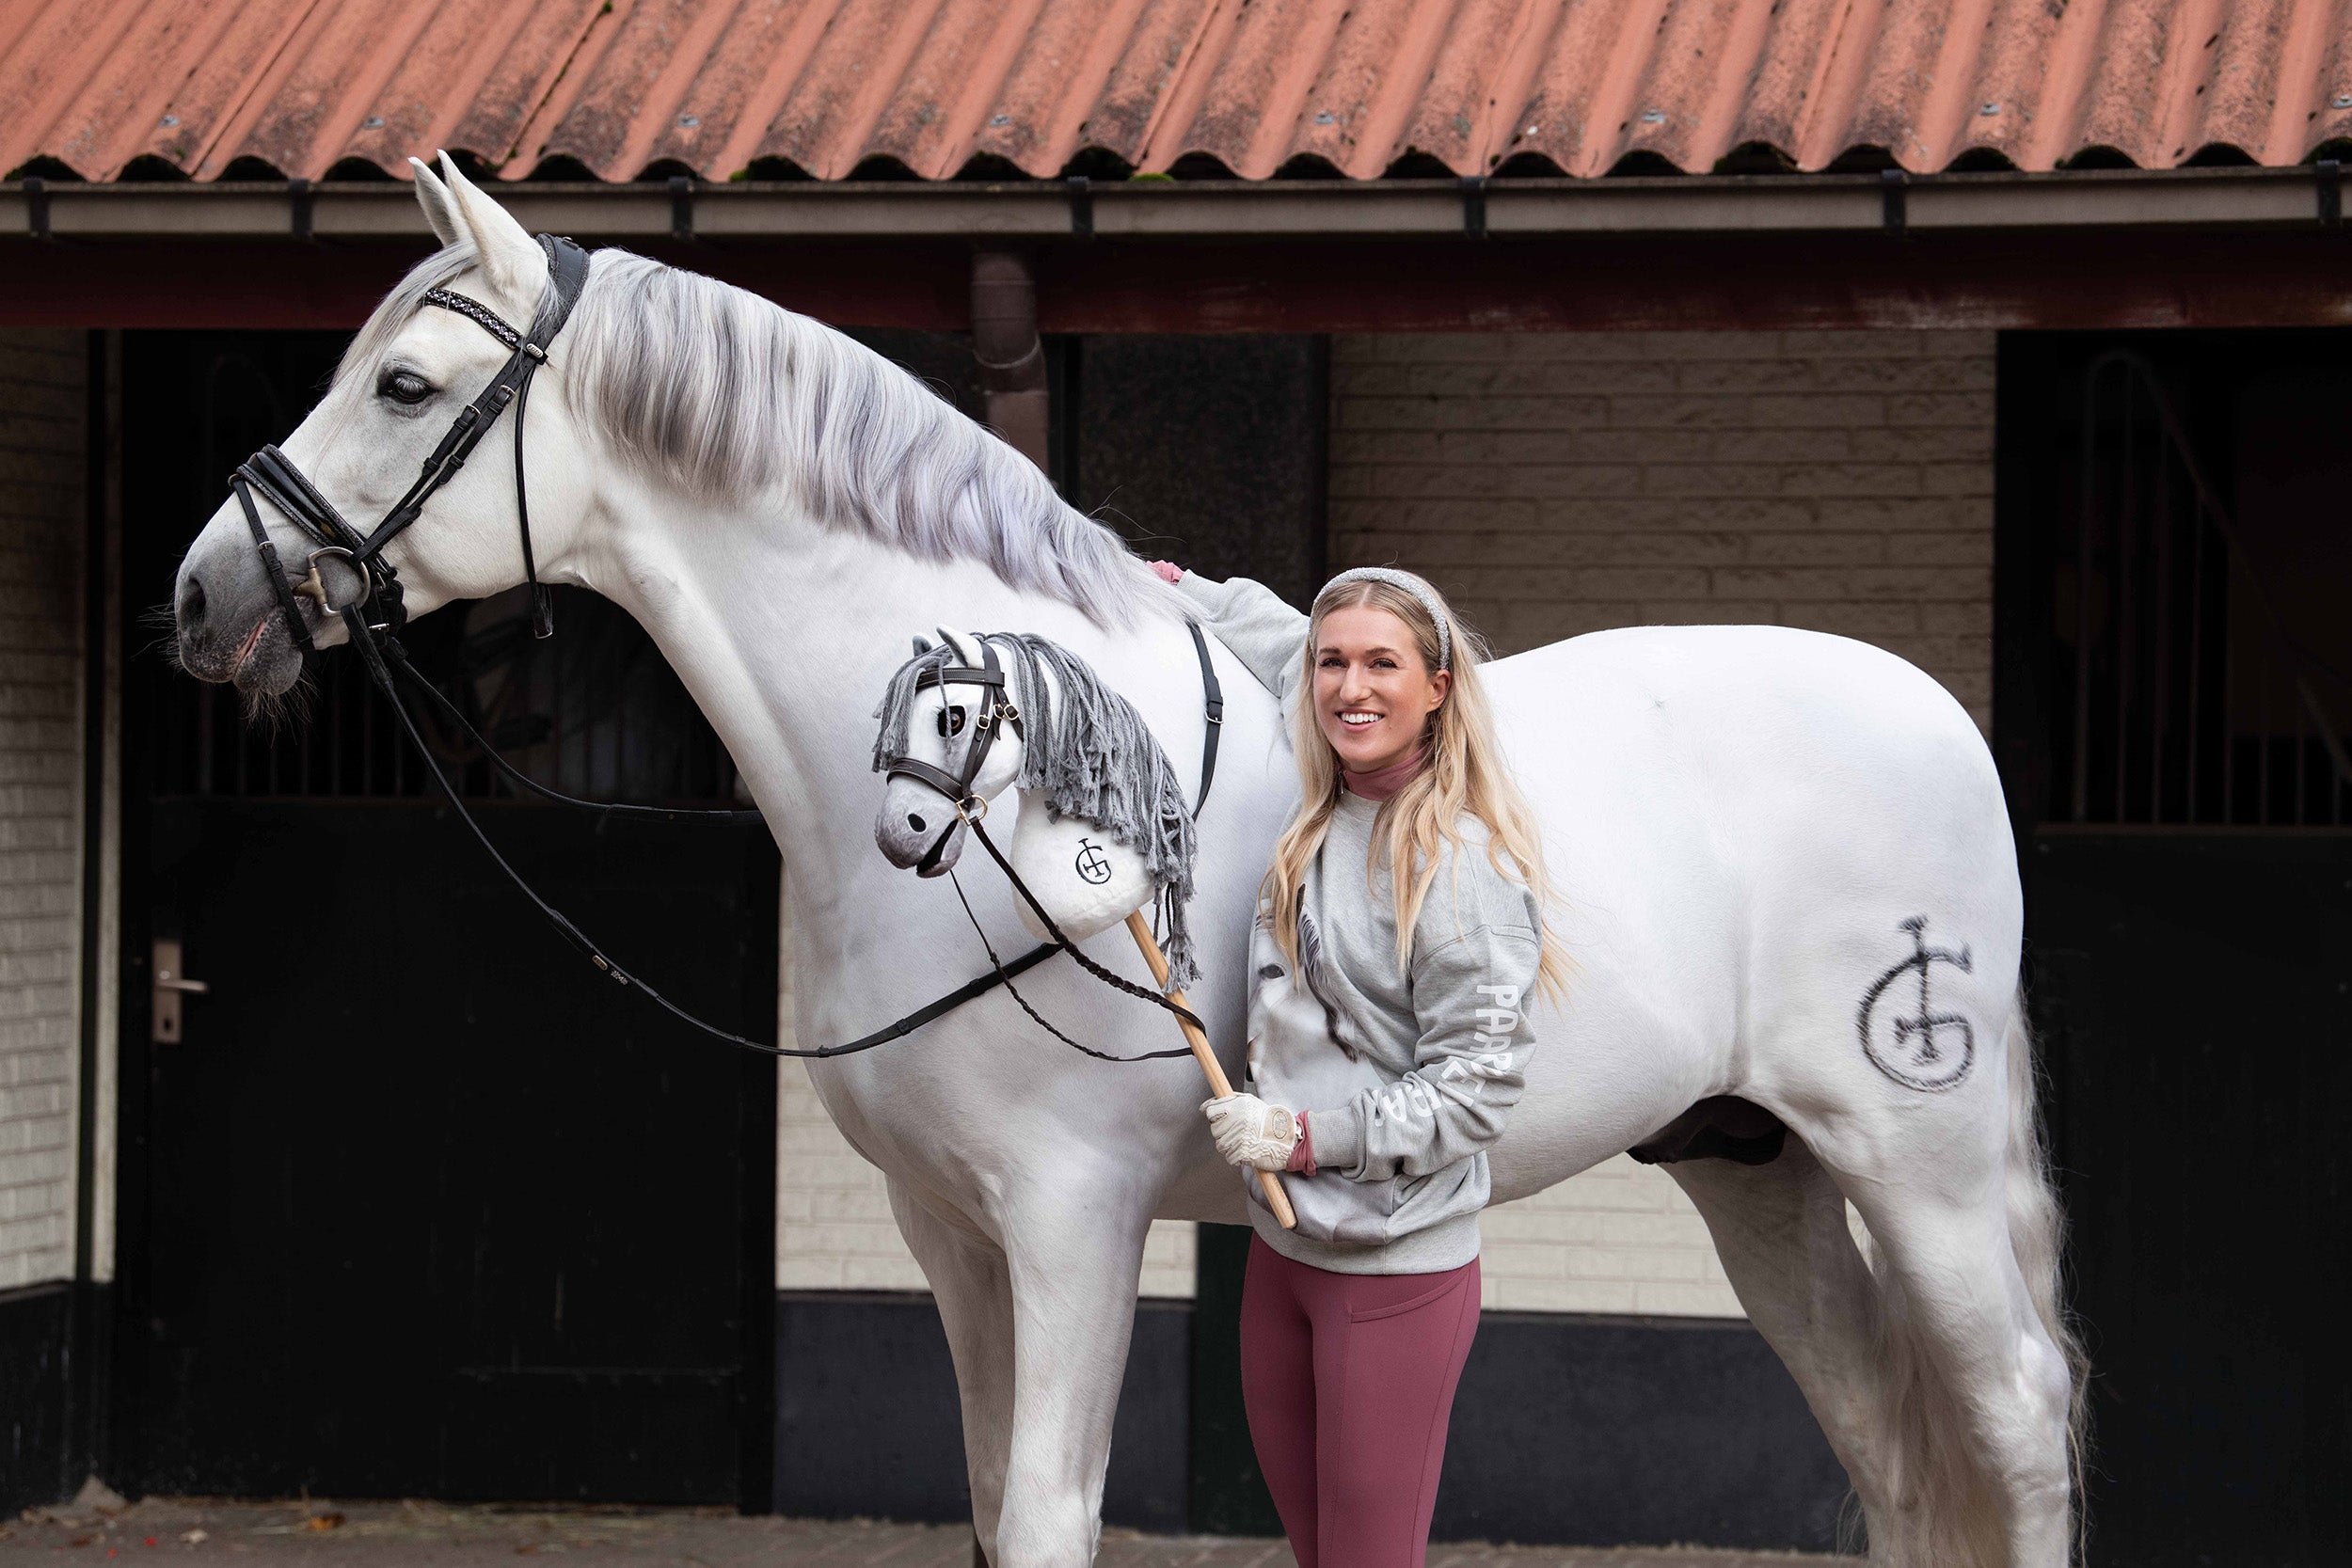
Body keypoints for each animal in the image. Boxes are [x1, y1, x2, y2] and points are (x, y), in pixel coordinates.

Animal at [169, 155, 2081, 1568]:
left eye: (404, 381)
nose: (203, 595)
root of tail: (1939, 715)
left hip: (1913, 1163)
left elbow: (1047, 1514)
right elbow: (987, 1512)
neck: (989, 795)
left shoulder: (1071, 1218)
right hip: (1758, 1168)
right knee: (1895, 1450)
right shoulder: (948, 1230)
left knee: (2016, 1424)